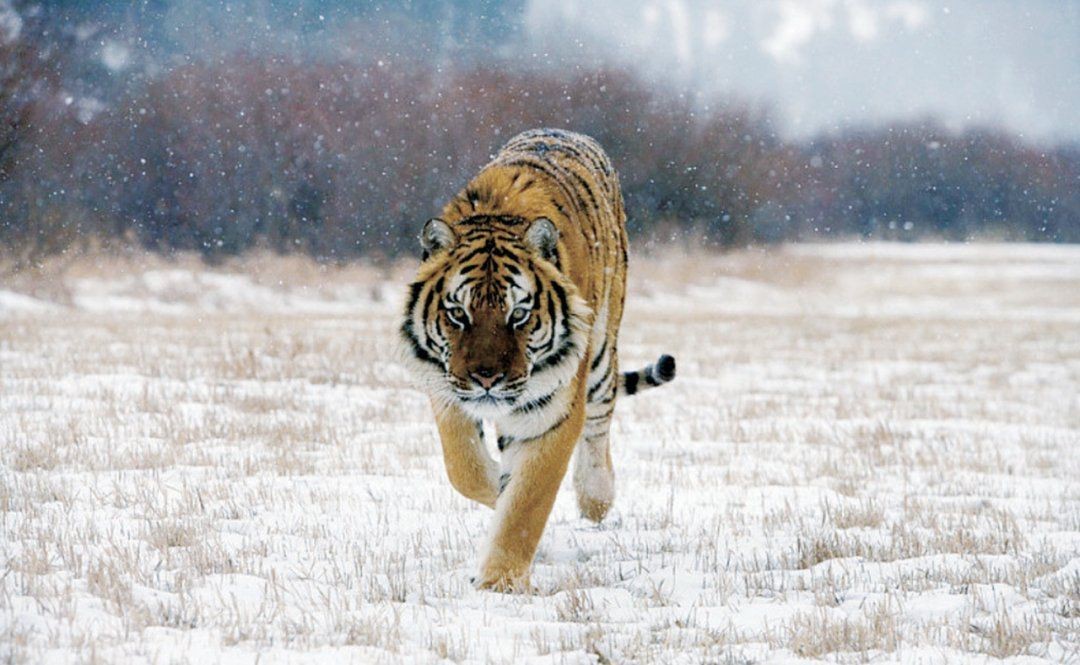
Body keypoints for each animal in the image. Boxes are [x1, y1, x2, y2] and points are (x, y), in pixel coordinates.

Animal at [400, 128, 677, 592]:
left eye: (519, 314)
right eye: (458, 313)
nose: (487, 378)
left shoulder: (552, 411)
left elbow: (526, 506)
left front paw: (499, 583)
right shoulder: (446, 388)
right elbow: (464, 466)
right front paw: (496, 486)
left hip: (601, 353)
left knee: (600, 421)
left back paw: (597, 497)